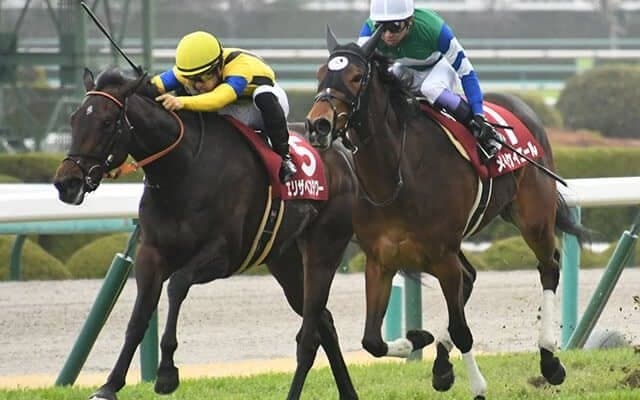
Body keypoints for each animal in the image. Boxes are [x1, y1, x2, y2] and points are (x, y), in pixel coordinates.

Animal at [53, 67, 359, 400]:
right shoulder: (151, 253)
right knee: (323, 321)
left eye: (107, 122)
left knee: (311, 333)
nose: (66, 183)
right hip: (285, 261)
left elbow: (177, 285)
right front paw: (109, 385)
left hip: (323, 249)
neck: (183, 169)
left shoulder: (223, 255)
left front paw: (166, 373)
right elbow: (138, 318)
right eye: (74, 119)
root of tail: (341, 156)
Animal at [304, 28, 590, 399]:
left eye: (355, 77)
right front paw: (417, 339)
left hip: (534, 218)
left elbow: (462, 330)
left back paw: (550, 360)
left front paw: (478, 386)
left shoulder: (441, 255)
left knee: (549, 267)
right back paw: (441, 365)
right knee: (470, 278)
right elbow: (372, 341)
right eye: (320, 74)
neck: (397, 175)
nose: (317, 126)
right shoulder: (381, 260)